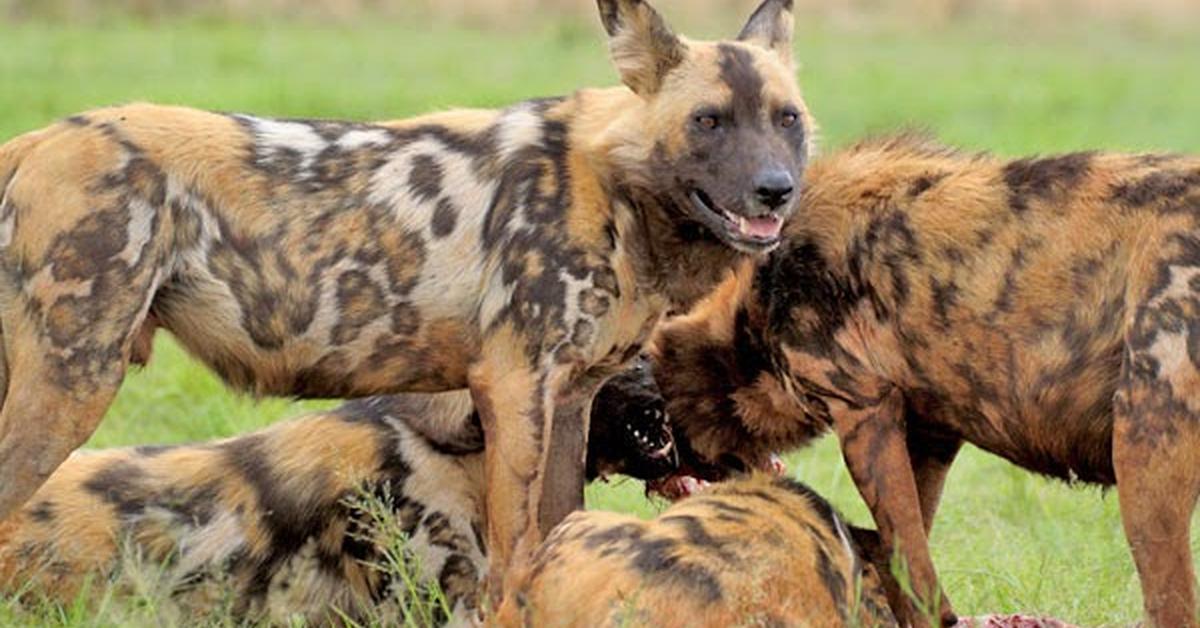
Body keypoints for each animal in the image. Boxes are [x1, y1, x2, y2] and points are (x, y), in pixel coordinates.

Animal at [648, 136, 1200, 628]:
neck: (760, 301)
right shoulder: (930, 435)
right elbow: (897, 551)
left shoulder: (864, 413)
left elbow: (907, 564)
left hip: (1144, 458)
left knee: (1169, 609)